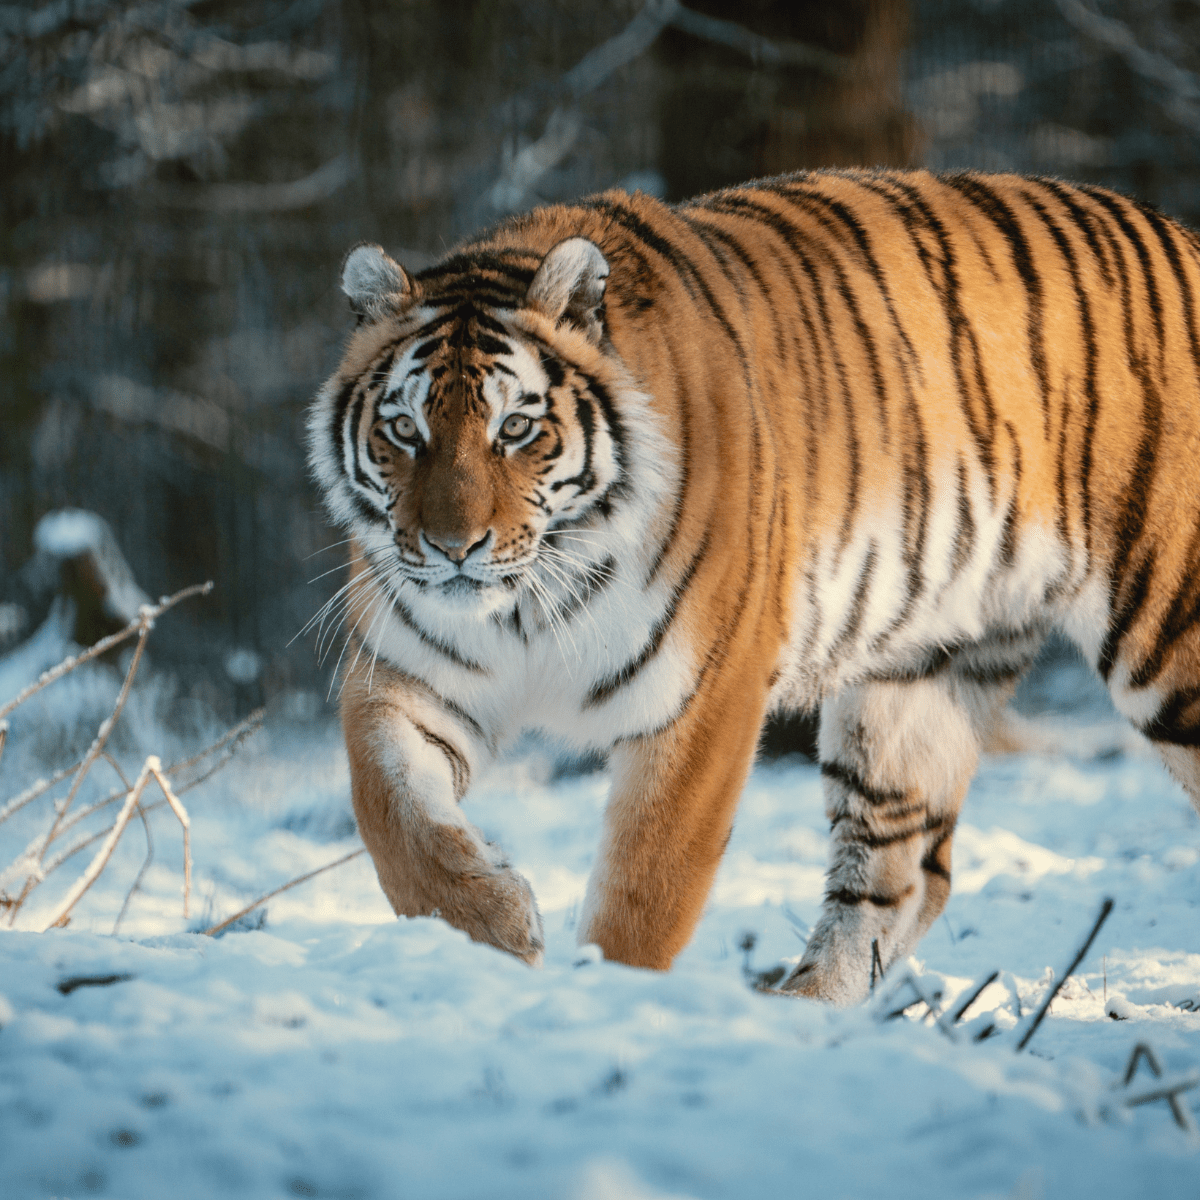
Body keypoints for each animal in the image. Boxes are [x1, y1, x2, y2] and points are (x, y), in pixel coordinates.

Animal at [308, 168, 1200, 1006]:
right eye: (404, 430)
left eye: (517, 428)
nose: (452, 548)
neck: (531, 601)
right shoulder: (403, 675)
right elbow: (393, 818)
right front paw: (497, 926)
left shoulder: (702, 694)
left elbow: (649, 882)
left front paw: (611, 996)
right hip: (918, 676)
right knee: (906, 875)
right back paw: (803, 1011)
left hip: (1169, 641)